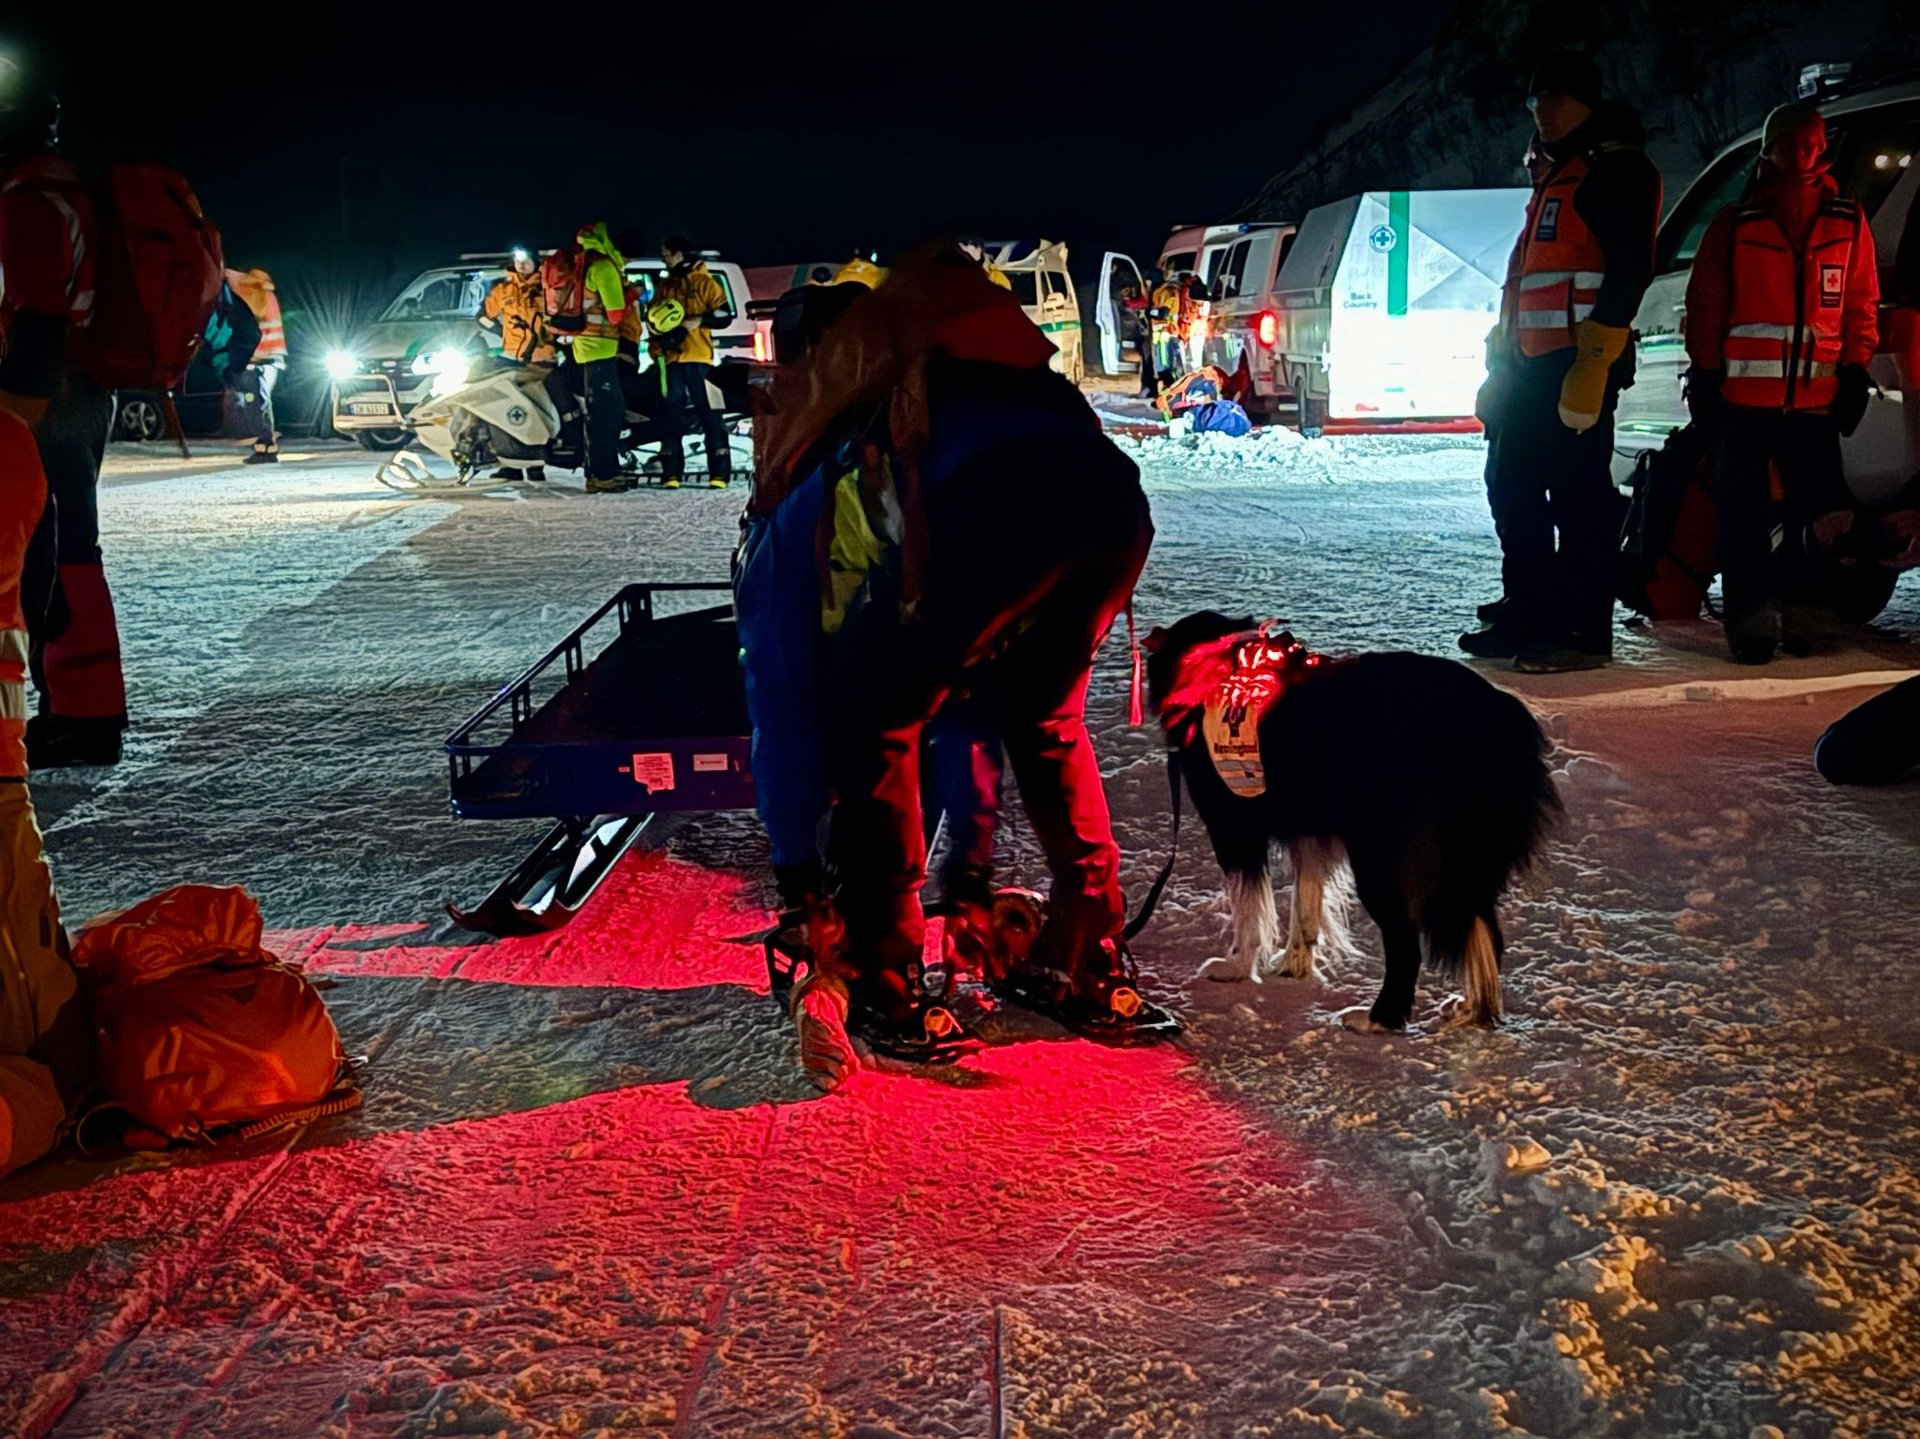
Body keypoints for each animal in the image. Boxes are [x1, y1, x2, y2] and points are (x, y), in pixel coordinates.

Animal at [1144, 610, 1551, 1029]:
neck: (1211, 656)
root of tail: (1495, 719)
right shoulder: (1308, 834)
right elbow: (1305, 910)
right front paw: (1293, 966)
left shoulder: (1235, 831)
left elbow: (1251, 912)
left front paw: (1238, 967)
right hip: (1467, 858)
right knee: (1484, 928)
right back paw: (1470, 1008)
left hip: (1383, 857)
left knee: (1407, 945)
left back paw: (1378, 1019)